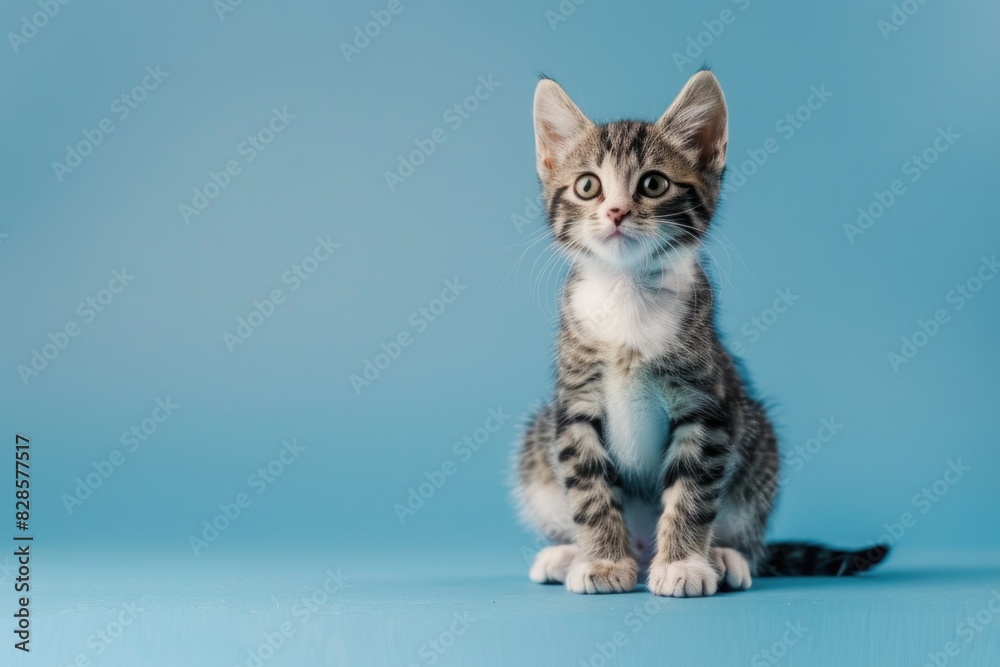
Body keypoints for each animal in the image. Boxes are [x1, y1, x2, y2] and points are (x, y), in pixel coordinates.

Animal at [516, 70, 892, 596]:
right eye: (588, 186)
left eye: (653, 183)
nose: (615, 212)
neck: (628, 289)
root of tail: (643, 549)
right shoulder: (573, 408)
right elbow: (589, 490)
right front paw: (603, 562)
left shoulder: (708, 405)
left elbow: (693, 491)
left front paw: (684, 565)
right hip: (538, 438)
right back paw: (568, 554)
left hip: (757, 437)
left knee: (748, 537)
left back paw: (724, 557)